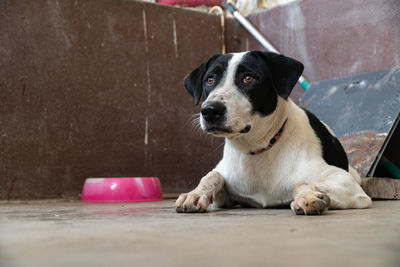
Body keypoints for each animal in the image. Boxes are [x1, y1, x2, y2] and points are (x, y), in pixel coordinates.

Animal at [175, 51, 372, 217]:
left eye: (248, 78)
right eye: (210, 80)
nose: (209, 110)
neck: (257, 150)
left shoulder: (346, 182)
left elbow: (301, 182)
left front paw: (308, 197)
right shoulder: (226, 188)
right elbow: (212, 175)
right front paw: (194, 193)